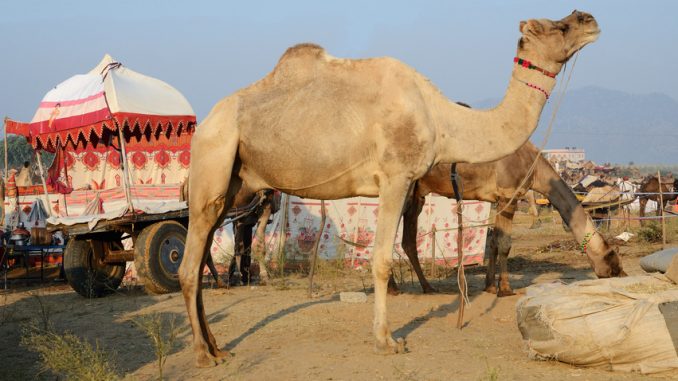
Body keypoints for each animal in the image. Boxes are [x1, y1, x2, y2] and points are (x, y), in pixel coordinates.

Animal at [179, 10, 600, 366]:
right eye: (557, 26)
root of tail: (205, 124)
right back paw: (202, 354)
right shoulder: (396, 177)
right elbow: (381, 259)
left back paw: (216, 346)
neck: (441, 118)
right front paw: (387, 340)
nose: (589, 18)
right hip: (213, 158)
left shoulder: (409, 182)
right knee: (187, 266)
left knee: (202, 255)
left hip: (235, 185)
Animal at [388, 141, 628, 296]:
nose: (622, 274)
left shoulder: (499, 199)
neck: (535, 167)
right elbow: (504, 244)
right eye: (612, 259)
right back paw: (393, 288)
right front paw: (505, 288)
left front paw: (489, 286)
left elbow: (494, 241)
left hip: (416, 193)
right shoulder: (508, 196)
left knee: (407, 240)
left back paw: (427, 287)